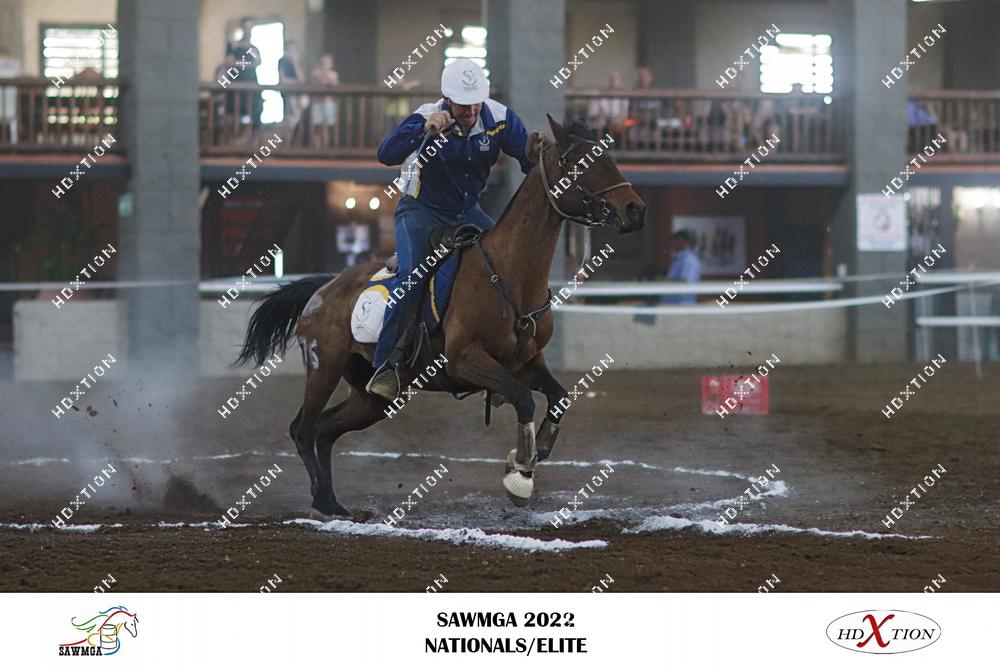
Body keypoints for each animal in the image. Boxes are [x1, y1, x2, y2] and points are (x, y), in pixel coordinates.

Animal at [237, 115, 645, 518]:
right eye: (581, 162)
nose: (635, 209)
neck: (507, 274)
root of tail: (323, 288)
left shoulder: (527, 361)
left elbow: (558, 397)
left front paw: (534, 455)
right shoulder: (467, 359)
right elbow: (522, 399)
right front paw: (521, 473)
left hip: (370, 398)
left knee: (324, 430)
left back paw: (334, 503)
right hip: (324, 367)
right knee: (303, 428)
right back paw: (323, 500)